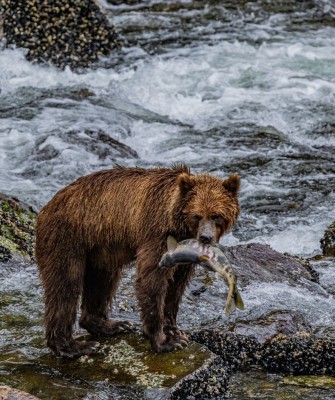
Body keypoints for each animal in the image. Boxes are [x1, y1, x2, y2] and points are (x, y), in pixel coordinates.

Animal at [35, 164, 240, 358]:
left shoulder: (184, 254)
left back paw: (112, 325)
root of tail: (46, 208)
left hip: (99, 250)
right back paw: (74, 346)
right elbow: (152, 280)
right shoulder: (157, 235)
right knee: (65, 286)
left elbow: (175, 287)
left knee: (102, 281)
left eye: (217, 215)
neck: (177, 223)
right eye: (197, 215)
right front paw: (165, 341)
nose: (205, 238)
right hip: (67, 238)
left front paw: (174, 329)